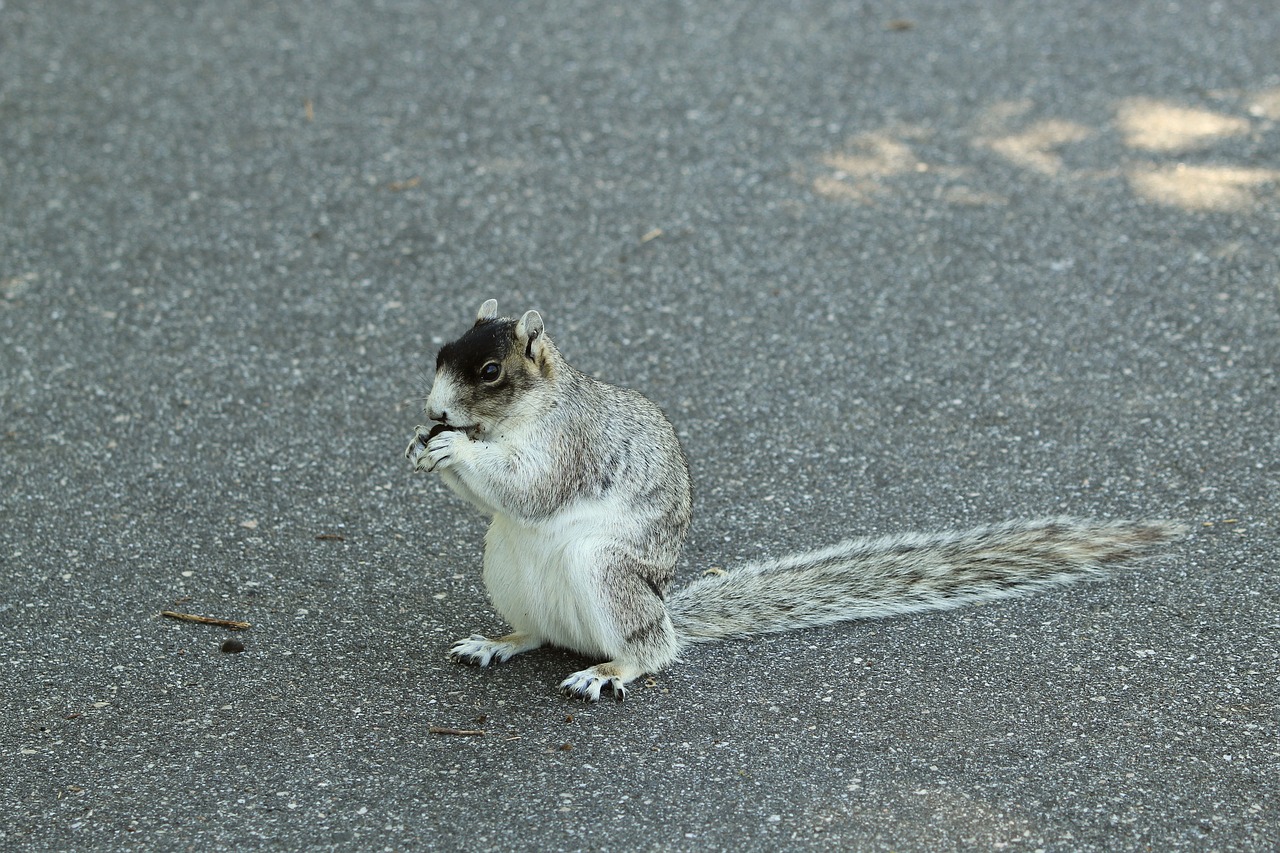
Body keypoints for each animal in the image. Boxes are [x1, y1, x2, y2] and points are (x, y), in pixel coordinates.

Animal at [404, 297, 1182, 696]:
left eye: (491, 370)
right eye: (441, 351)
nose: (433, 407)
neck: (524, 416)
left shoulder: (573, 445)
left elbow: (530, 486)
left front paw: (452, 448)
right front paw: (420, 444)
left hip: (607, 575)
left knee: (650, 652)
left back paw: (612, 668)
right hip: (506, 568)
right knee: (537, 632)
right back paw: (500, 641)